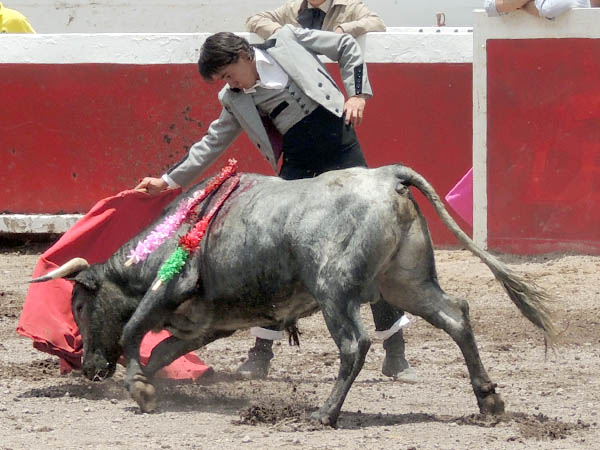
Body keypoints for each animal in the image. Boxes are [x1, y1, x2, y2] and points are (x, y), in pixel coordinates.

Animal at [32, 165, 556, 426]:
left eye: (79, 305)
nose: (88, 368)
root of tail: (388, 176)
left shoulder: (169, 287)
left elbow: (135, 330)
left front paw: (140, 391)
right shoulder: (206, 325)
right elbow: (161, 349)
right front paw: (148, 385)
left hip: (335, 290)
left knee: (355, 344)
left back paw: (323, 414)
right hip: (406, 282)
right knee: (456, 316)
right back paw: (488, 403)